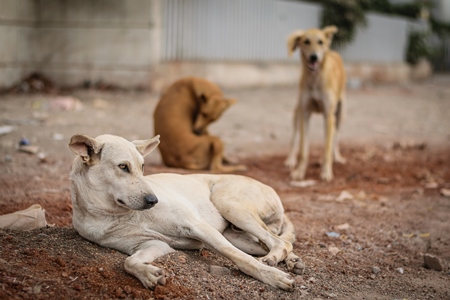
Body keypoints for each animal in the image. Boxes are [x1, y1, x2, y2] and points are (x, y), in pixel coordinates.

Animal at [67, 134, 306, 290]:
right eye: (123, 167)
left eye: (143, 167)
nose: (153, 200)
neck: (115, 214)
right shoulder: (151, 244)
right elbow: (129, 262)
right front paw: (149, 275)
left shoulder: (196, 226)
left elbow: (240, 258)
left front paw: (272, 277)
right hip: (236, 235)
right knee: (276, 242)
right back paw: (289, 260)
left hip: (228, 204)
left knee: (278, 241)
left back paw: (274, 261)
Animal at [286, 26, 346, 180]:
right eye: (306, 42)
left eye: (320, 42)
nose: (314, 57)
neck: (315, 79)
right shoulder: (305, 113)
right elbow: (303, 149)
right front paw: (299, 171)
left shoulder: (329, 115)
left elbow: (327, 148)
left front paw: (326, 172)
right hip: (297, 112)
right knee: (294, 137)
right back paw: (290, 159)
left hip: (339, 113)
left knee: (336, 136)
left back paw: (337, 156)